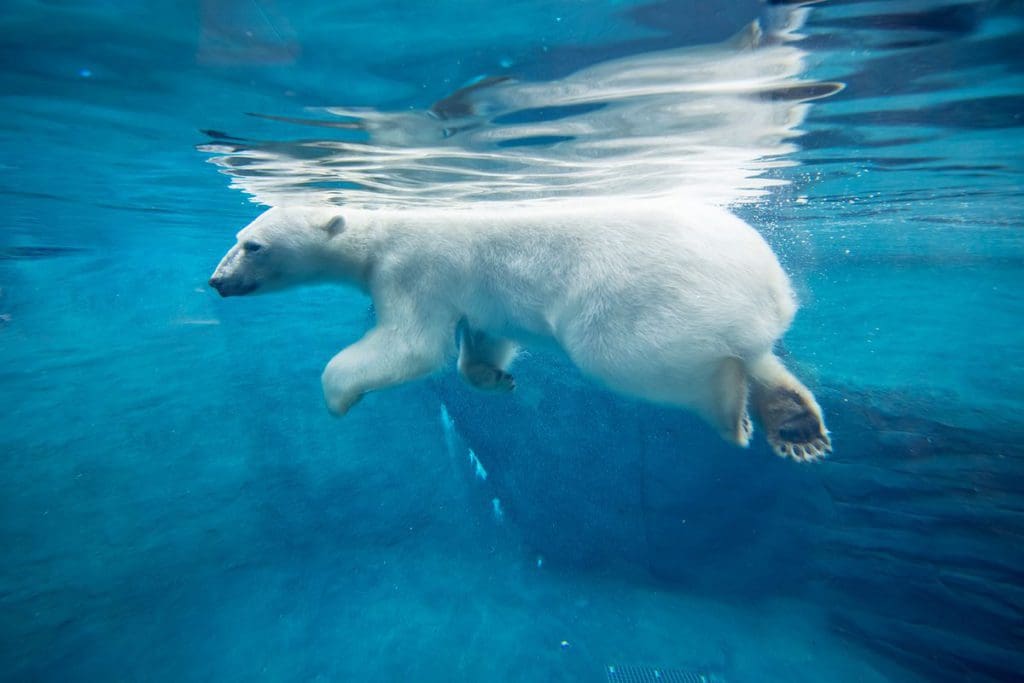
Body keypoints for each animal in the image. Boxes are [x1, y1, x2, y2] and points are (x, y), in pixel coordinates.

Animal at [209, 200, 831, 462]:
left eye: (252, 244)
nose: (216, 281)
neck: (378, 236)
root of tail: (764, 278)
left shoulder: (412, 272)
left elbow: (412, 346)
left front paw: (338, 395)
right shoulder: (471, 297)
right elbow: (482, 334)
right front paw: (494, 377)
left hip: (634, 299)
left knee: (643, 358)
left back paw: (731, 411)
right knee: (756, 350)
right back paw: (796, 424)